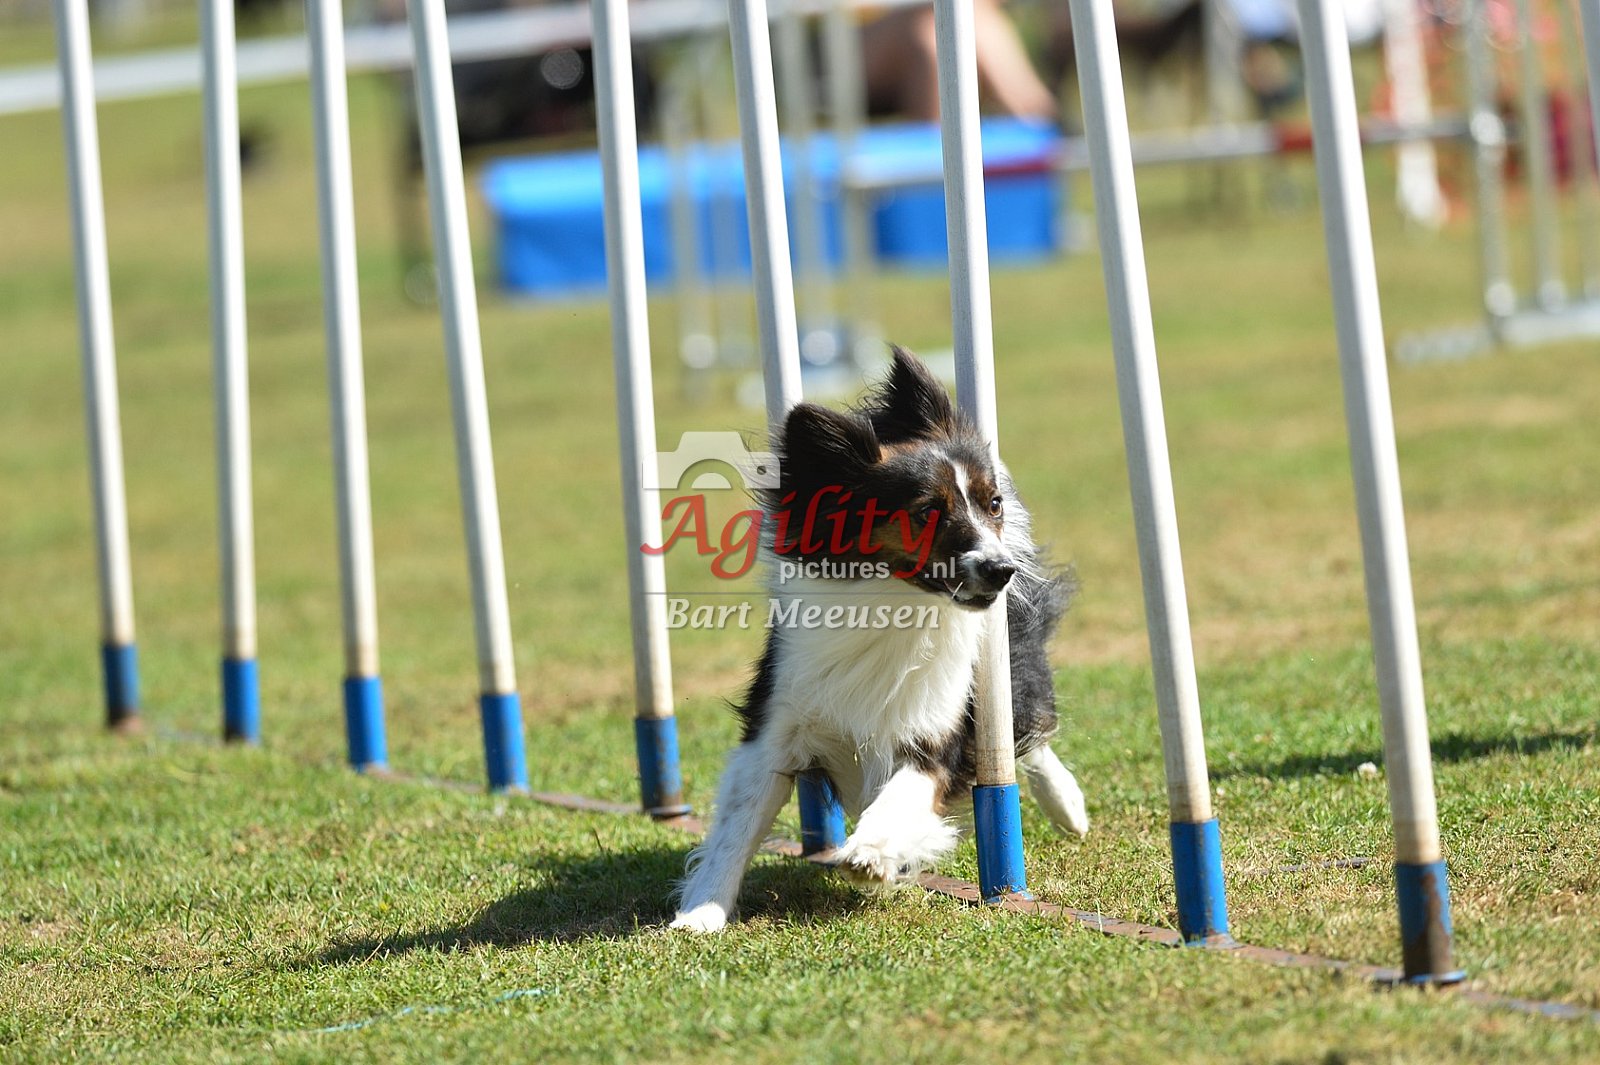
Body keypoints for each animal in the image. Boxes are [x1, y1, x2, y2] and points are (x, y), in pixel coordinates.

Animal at [671, 347, 1088, 932]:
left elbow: (904, 791)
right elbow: (737, 825)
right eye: (927, 511)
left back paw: (1068, 806)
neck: (893, 604)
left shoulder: (937, 731)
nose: (1001, 570)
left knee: (1027, 729)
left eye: (994, 504)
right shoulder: (776, 724)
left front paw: (870, 853)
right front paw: (700, 912)